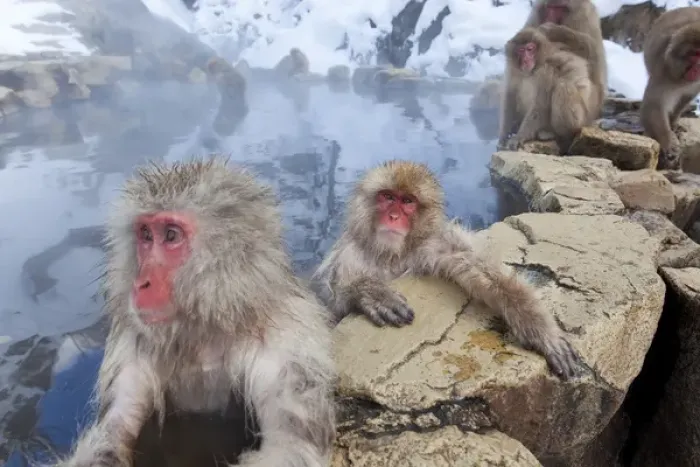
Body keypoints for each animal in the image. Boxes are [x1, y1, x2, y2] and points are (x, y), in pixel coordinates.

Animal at [52, 158, 335, 467]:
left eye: (171, 235)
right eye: (146, 235)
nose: (141, 283)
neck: (205, 329)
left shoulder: (286, 347)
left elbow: (289, 447)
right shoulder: (131, 346)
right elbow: (111, 434)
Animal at [309, 160, 583, 380]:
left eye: (407, 201)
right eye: (387, 197)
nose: (394, 216)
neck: (391, 255)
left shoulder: (436, 244)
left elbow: (484, 272)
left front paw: (543, 333)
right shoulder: (348, 253)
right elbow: (328, 305)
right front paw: (369, 291)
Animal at [640, 6, 700, 170]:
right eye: (694, 54)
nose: (697, 69)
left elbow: (687, 96)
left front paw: (673, 122)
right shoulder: (663, 72)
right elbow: (653, 106)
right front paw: (669, 142)